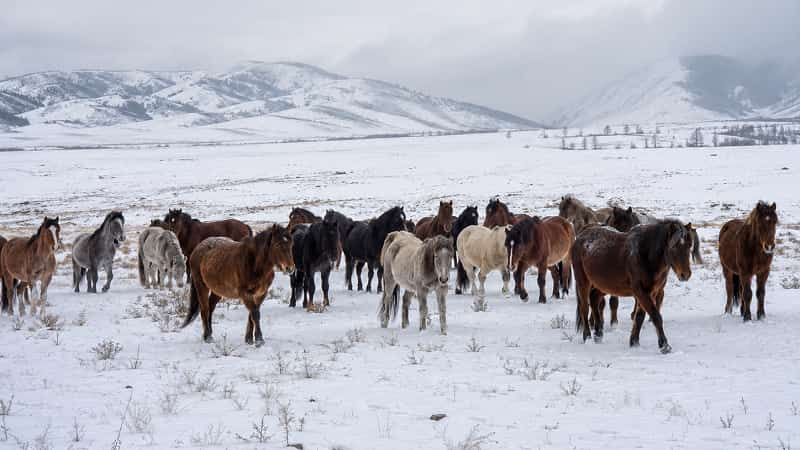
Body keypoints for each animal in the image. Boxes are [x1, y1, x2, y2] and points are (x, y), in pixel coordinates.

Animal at [572, 220, 694, 353]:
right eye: (674, 247)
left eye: (689, 245)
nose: (685, 274)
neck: (645, 255)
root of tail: (580, 237)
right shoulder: (641, 291)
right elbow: (656, 316)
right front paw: (664, 346)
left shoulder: (651, 292)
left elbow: (640, 317)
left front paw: (634, 342)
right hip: (583, 282)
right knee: (584, 308)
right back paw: (587, 337)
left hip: (603, 285)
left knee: (594, 300)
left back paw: (598, 335)